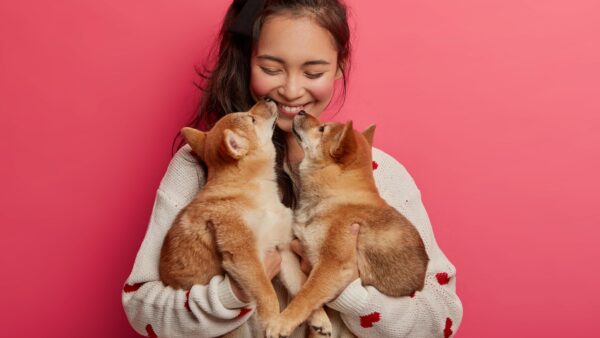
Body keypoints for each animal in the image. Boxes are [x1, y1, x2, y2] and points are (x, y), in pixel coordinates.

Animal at [157, 99, 330, 336]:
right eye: (252, 118)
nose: (267, 99)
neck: (255, 188)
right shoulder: (245, 256)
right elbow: (266, 292)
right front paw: (272, 320)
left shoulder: (283, 250)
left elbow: (301, 288)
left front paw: (318, 317)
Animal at [264, 112, 428, 336]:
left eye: (322, 129)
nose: (301, 112)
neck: (336, 195)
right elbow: (301, 288)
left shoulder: (332, 265)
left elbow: (306, 295)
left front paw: (283, 322)